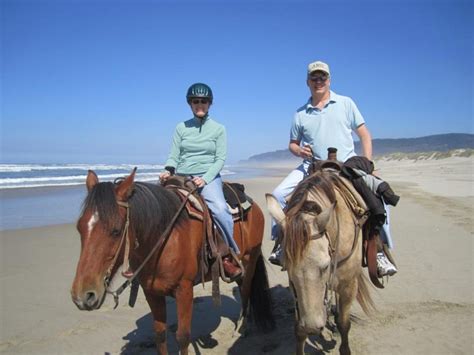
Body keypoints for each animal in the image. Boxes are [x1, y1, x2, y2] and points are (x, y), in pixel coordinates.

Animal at [68, 170, 272, 355]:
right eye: (79, 228)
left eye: (116, 231)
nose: (83, 296)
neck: (164, 238)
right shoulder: (151, 292)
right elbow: (160, 335)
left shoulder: (184, 290)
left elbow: (183, 336)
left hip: (250, 258)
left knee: (245, 290)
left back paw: (243, 327)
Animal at [266, 170, 374, 355]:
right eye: (287, 268)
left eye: (325, 266)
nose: (311, 328)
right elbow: (299, 330)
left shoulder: (349, 286)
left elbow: (344, 324)